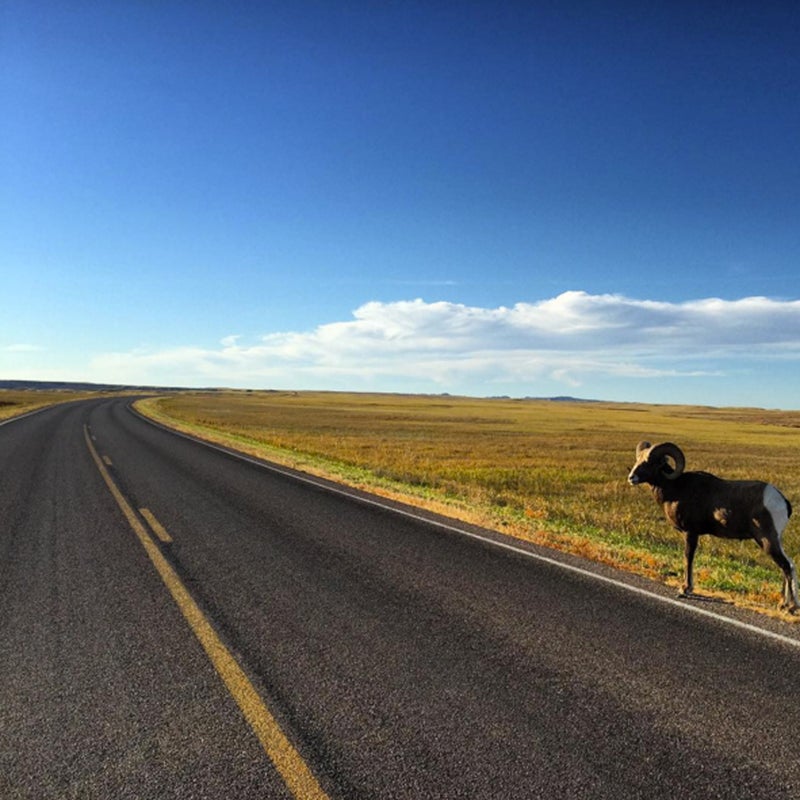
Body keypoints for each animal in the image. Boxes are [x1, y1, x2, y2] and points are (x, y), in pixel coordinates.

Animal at [628, 444, 796, 612]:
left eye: (650, 462)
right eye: (638, 459)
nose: (631, 477)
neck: (676, 488)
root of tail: (782, 501)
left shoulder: (690, 533)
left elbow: (688, 557)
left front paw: (685, 589)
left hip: (767, 540)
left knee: (786, 566)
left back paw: (791, 607)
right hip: (775, 541)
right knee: (789, 565)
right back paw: (783, 604)